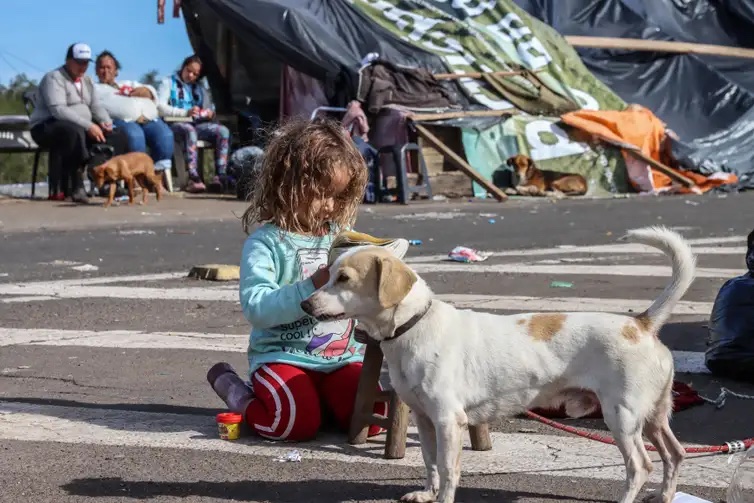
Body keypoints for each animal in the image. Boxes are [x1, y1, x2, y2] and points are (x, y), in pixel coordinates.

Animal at [298, 227, 692, 503]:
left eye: (344, 278)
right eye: (327, 274)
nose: (304, 304)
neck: (414, 326)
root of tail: (641, 323)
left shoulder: (448, 421)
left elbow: (448, 468)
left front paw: (443, 498)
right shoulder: (424, 419)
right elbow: (429, 462)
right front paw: (427, 493)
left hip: (622, 418)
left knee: (640, 466)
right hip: (653, 418)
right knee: (675, 454)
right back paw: (665, 494)